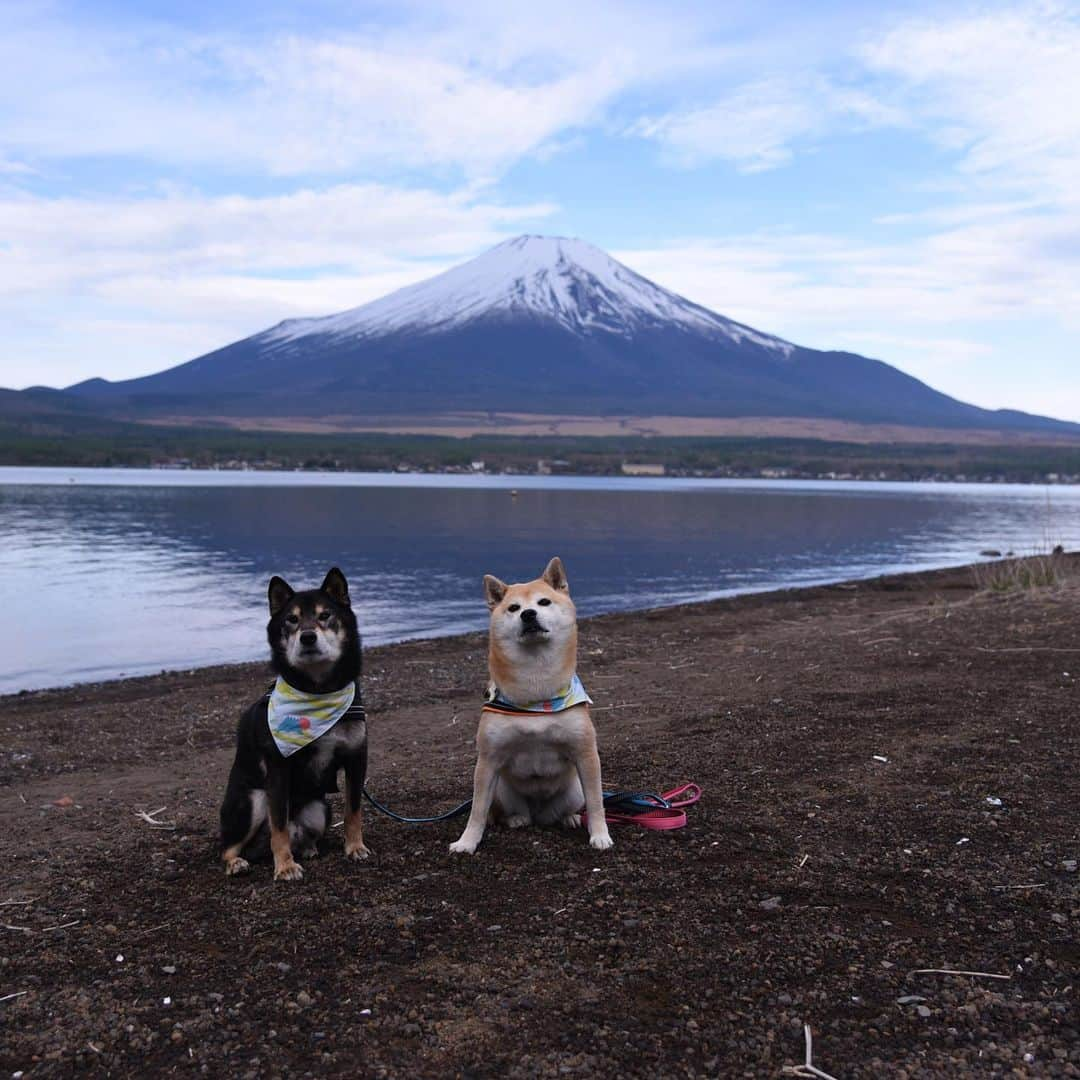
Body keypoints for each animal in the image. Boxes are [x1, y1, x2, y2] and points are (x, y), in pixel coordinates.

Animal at [219, 570, 371, 881]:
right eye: (291, 619)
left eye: (325, 615)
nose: (308, 636)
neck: (318, 691)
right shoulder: (278, 768)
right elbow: (278, 825)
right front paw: (285, 866)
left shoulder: (356, 757)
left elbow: (353, 811)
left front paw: (354, 847)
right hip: (253, 801)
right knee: (229, 845)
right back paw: (236, 862)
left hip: (319, 808)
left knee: (300, 833)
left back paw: (308, 849)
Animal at [449, 557, 613, 851]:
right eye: (514, 608)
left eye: (543, 602)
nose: (528, 614)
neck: (537, 695)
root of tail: (539, 814)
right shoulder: (488, 760)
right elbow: (477, 810)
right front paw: (467, 842)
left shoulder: (585, 754)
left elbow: (597, 803)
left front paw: (600, 835)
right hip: (500, 787)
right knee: (503, 812)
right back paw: (516, 819)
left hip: (574, 789)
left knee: (570, 808)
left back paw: (570, 818)